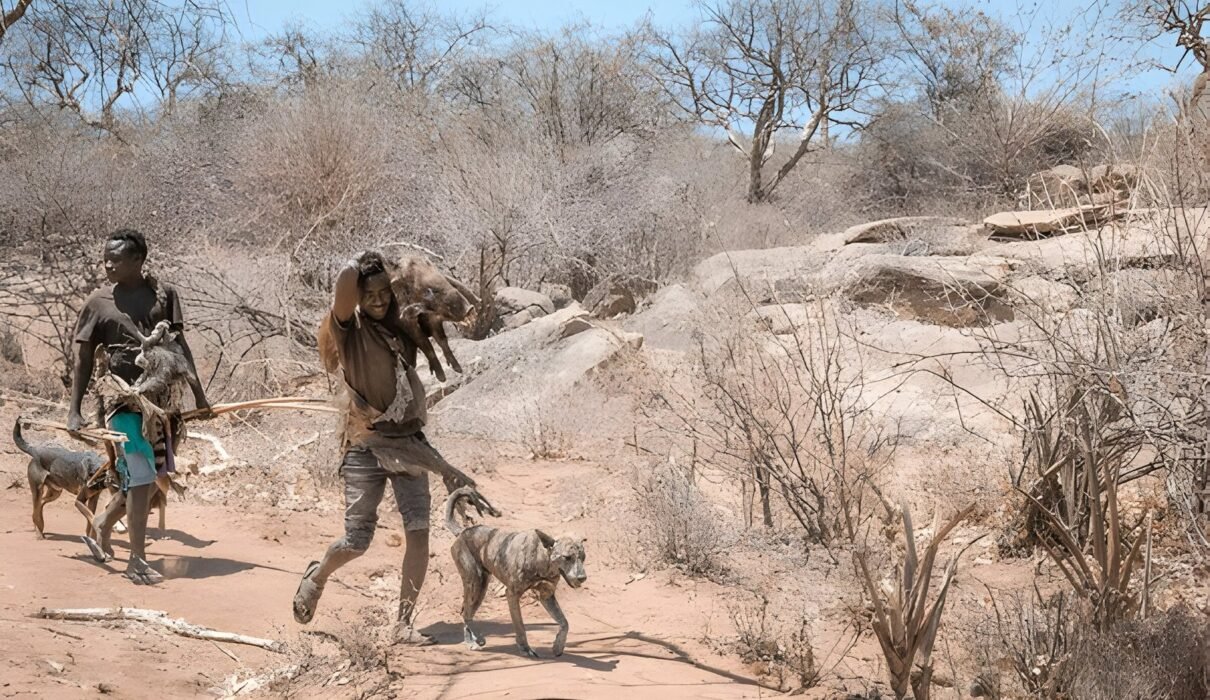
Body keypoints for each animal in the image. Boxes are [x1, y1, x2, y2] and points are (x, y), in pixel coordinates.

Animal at [450, 488, 590, 657]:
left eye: (582, 557)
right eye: (567, 557)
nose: (582, 578)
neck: (542, 560)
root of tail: (463, 531)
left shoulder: (546, 596)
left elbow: (564, 622)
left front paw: (558, 646)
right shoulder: (512, 594)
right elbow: (520, 625)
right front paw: (525, 648)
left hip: (480, 590)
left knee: (467, 612)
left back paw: (472, 641)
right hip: (475, 583)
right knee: (466, 614)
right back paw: (475, 641)